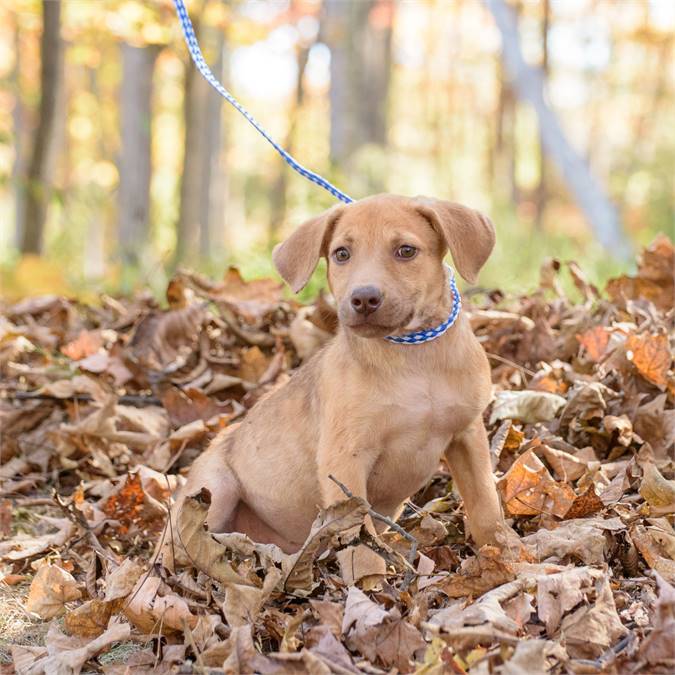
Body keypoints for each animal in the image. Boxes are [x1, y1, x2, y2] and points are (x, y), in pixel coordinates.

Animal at [161, 194, 504, 564]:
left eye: (406, 251)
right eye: (341, 254)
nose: (364, 298)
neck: (414, 357)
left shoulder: (468, 437)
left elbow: (486, 505)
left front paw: (504, 553)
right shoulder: (345, 459)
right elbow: (361, 542)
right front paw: (372, 575)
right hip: (214, 490)